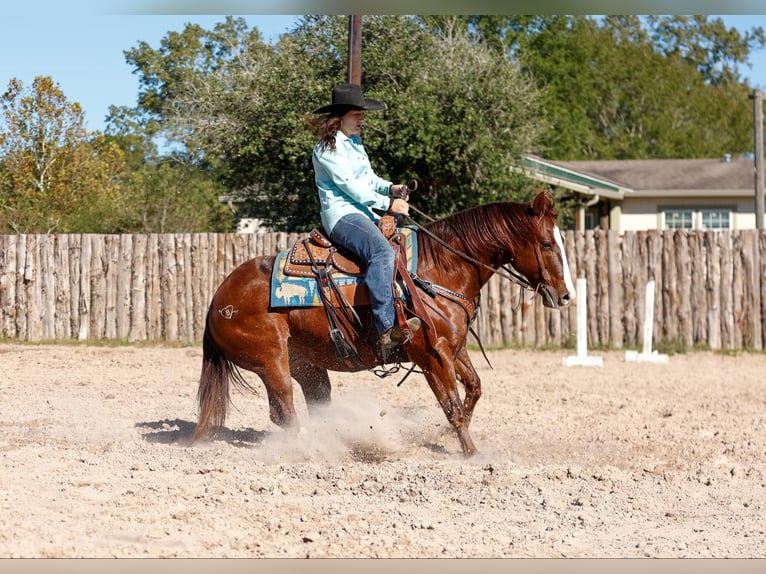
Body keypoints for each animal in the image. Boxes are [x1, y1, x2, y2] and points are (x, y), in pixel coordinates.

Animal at [192, 190, 575, 456]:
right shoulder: (431, 355)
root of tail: (217, 300)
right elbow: (451, 405)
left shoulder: (454, 347)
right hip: (272, 363)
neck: (440, 267)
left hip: (305, 365)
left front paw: (448, 436)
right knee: (284, 410)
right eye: (545, 243)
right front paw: (471, 453)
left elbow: (474, 389)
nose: (565, 295)